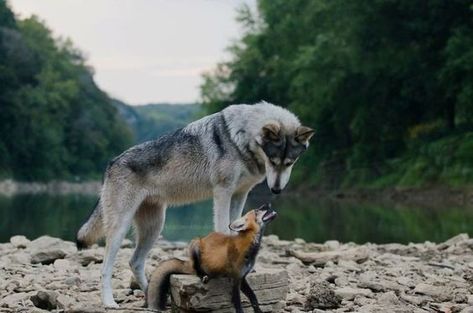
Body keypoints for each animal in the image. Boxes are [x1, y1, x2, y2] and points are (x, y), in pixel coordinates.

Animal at [146, 204, 274, 310]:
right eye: (257, 210)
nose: (268, 204)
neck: (248, 249)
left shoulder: (242, 278)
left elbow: (254, 299)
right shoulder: (236, 279)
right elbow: (238, 306)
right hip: (195, 244)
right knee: (197, 270)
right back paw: (204, 276)